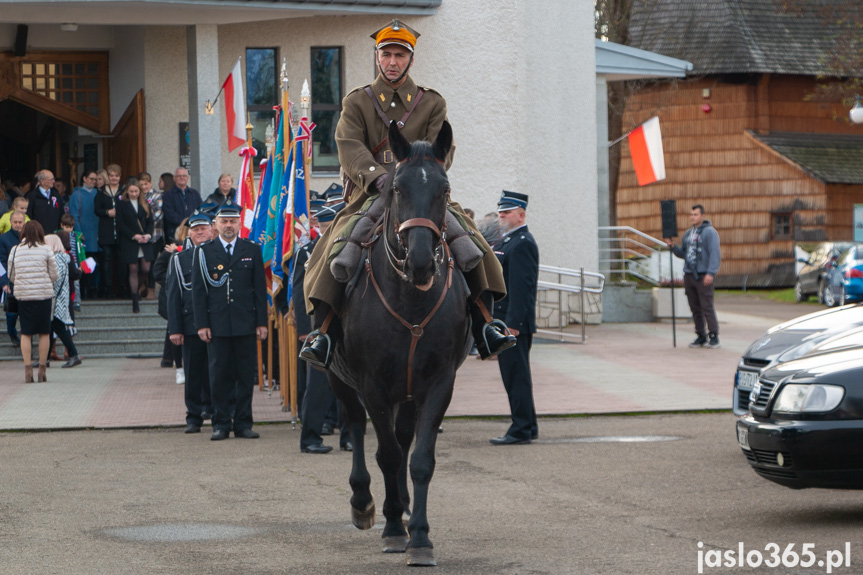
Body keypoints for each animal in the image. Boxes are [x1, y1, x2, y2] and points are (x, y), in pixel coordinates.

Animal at [326, 119, 472, 564]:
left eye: (444, 189)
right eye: (397, 188)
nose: (421, 261)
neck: (410, 298)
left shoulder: (438, 383)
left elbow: (419, 458)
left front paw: (420, 535)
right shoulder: (373, 384)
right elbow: (386, 454)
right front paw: (391, 527)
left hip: (406, 390)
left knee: (403, 437)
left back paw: (405, 507)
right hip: (338, 376)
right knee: (357, 426)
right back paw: (365, 503)